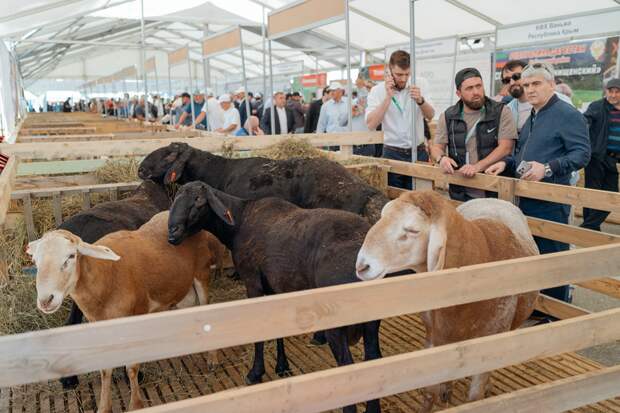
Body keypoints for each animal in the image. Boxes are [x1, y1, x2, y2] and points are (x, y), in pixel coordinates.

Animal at [27, 212, 225, 412]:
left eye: (71, 256)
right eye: (35, 262)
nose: (46, 300)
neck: (106, 277)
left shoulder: (135, 317)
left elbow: (131, 366)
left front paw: (135, 404)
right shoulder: (100, 325)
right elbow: (105, 368)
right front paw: (104, 407)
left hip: (202, 273)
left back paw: (213, 359)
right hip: (181, 284)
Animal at [168, 182, 382, 412]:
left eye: (198, 201)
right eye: (176, 198)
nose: (171, 233)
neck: (240, 221)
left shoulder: (252, 280)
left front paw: (255, 373)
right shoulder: (275, 286)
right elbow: (278, 329)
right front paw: (282, 366)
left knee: (347, 369)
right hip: (372, 318)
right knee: (374, 360)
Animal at [356, 192, 540, 410]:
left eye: (412, 230)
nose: (362, 265)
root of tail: (495, 199)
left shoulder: (489, 343)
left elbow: (475, 399)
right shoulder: (435, 337)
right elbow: (430, 393)